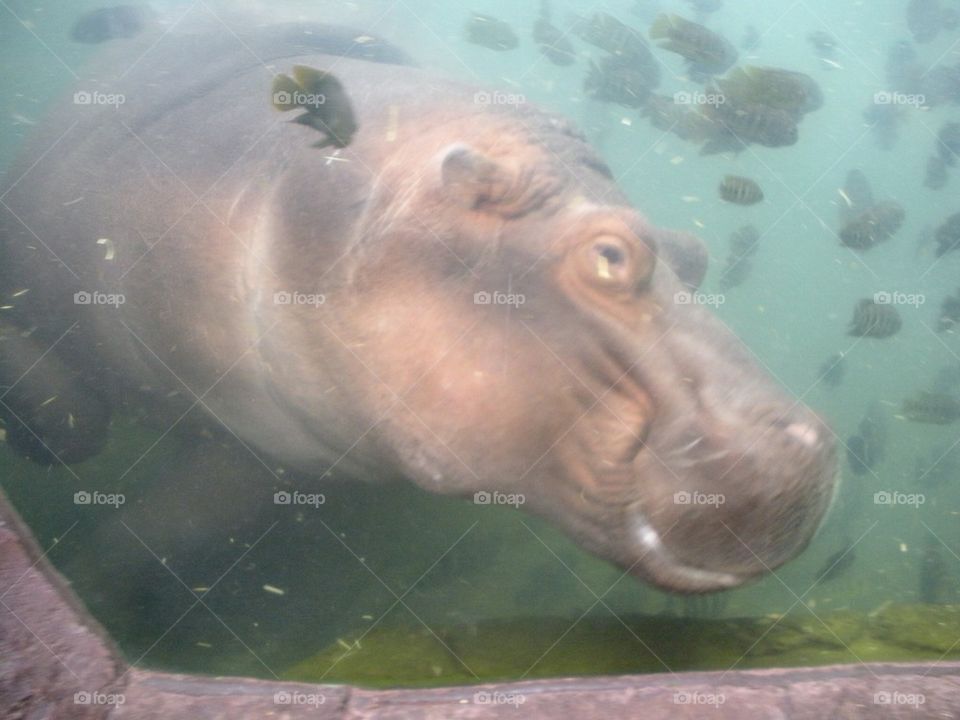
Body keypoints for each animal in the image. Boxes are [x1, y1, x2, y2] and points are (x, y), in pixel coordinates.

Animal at [0, 22, 836, 593]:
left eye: (694, 254)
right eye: (611, 255)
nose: (807, 446)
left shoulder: (278, 447)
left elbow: (161, 531)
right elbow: (80, 428)